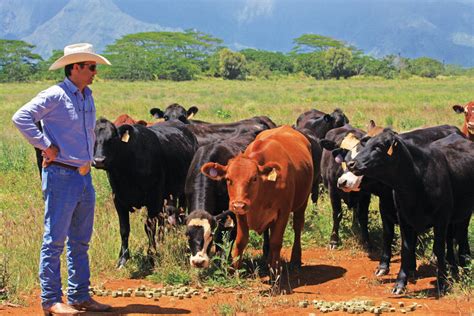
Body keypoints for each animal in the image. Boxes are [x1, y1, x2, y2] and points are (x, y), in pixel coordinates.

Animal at [93, 117, 197, 268]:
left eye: (112, 138)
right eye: (93, 137)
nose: (99, 160)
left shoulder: (153, 199)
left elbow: (149, 228)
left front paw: (151, 255)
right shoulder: (118, 200)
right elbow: (124, 229)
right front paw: (122, 258)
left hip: (181, 191)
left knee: (180, 214)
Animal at [201, 126, 314, 270]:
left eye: (254, 178)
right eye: (228, 179)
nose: (238, 205)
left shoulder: (283, 212)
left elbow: (276, 241)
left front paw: (275, 269)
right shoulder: (241, 214)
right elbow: (241, 241)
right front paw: (235, 269)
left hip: (302, 202)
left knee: (298, 227)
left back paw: (295, 259)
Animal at [346, 130, 472, 296]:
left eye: (378, 146)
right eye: (366, 145)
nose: (351, 164)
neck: (416, 182)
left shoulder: (441, 220)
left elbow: (438, 249)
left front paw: (442, 282)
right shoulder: (404, 219)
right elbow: (405, 249)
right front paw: (400, 283)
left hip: (464, 214)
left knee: (461, 237)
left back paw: (464, 265)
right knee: (451, 241)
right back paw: (454, 268)